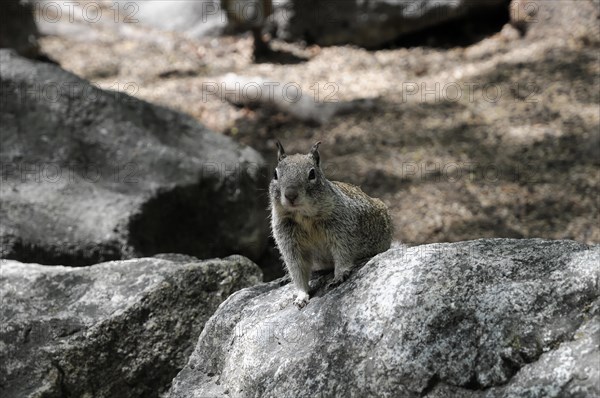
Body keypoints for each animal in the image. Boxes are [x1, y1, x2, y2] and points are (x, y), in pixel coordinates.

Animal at [268, 141, 392, 310]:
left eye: (312, 174)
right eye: (275, 174)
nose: (290, 195)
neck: (303, 216)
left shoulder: (341, 228)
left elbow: (342, 253)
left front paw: (339, 275)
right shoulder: (288, 240)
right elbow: (297, 269)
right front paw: (301, 295)